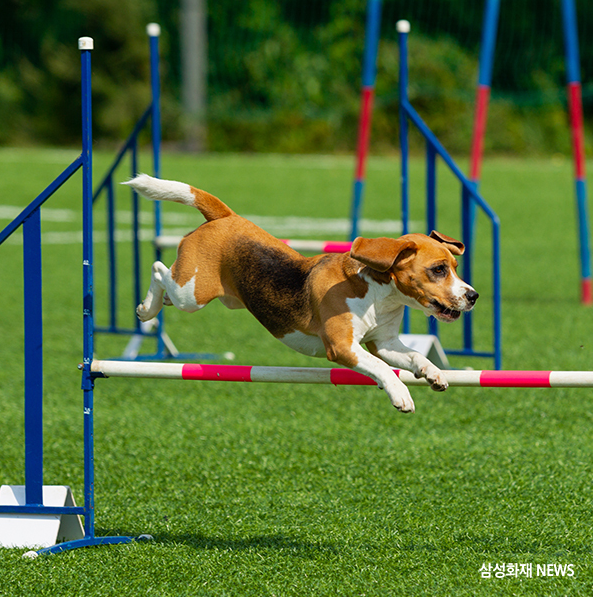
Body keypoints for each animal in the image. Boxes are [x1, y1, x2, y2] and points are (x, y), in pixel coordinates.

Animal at [125, 175, 476, 412]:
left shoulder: (384, 343)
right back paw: (146, 309)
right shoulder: (343, 347)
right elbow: (381, 368)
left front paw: (434, 373)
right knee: (158, 268)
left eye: (455, 266)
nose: (473, 296)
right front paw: (400, 392)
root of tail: (225, 217)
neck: (379, 295)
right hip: (192, 293)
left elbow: (415, 356)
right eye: (438, 270)